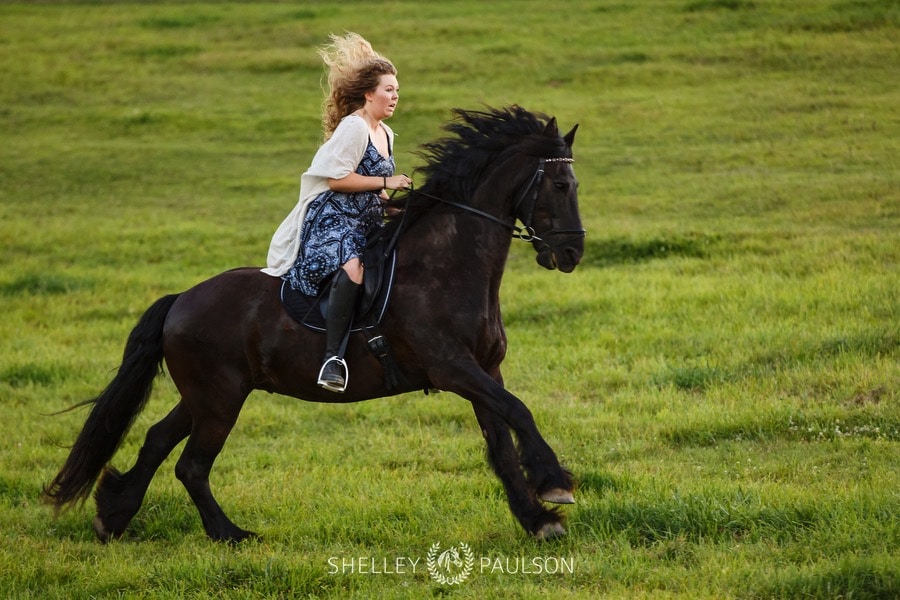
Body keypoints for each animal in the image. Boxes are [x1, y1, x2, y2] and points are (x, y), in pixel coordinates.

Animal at [45, 106, 588, 544]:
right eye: (560, 186)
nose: (571, 254)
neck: (448, 265)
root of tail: (181, 300)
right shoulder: (452, 368)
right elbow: (519, 412)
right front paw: (555, 484)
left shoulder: (485, 371)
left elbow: (502, 443)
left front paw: (537, 520)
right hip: (219, 398)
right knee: (191, 464)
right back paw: (229, 534)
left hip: (205, 395)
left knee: (159, 440)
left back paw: (113, 516)